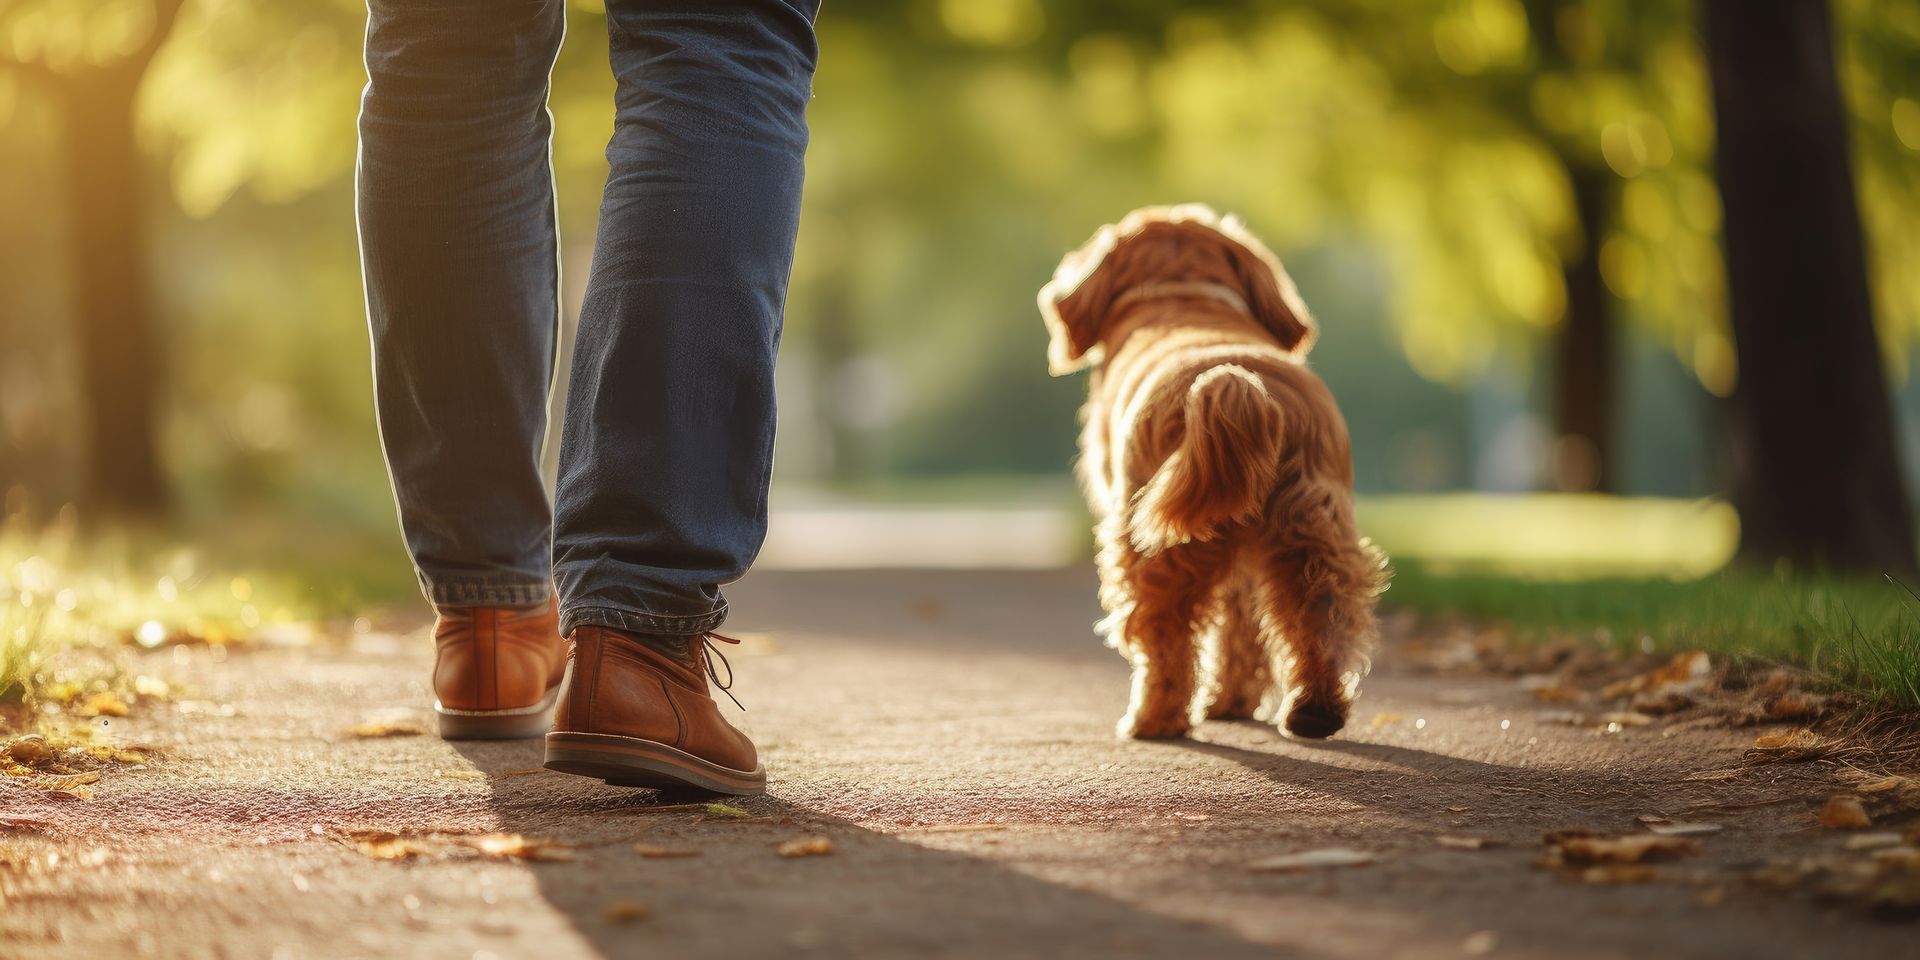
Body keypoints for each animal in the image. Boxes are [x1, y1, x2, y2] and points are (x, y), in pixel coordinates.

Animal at [1036, 206, 1382, 737]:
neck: (1184, 294)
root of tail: (1239, 385)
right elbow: (1242, 630)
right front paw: (1232, 701)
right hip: (1310, 532)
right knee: (1321, 615)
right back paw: (1314, 711)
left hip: (1154, 548)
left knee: (1164, 640)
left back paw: (1152, 719)